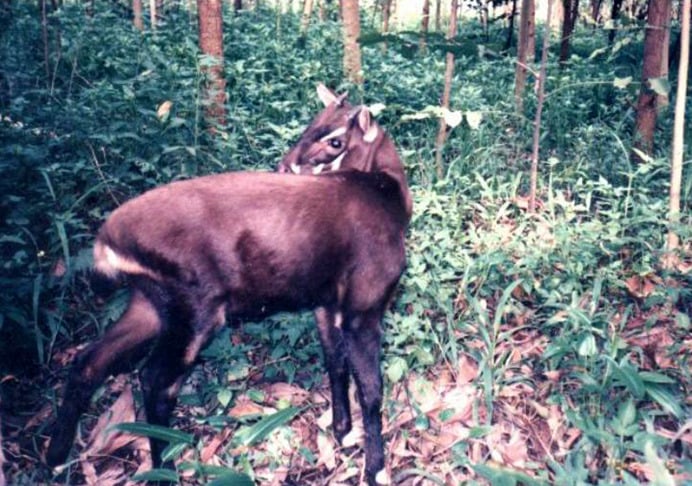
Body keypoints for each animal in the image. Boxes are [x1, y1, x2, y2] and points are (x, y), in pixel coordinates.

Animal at [46, 85, 411, 486]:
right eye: (313, 124)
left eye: (334, 139)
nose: (285, 166)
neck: (388, 194)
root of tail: (107, 240)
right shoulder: (365, 303)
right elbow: (372, 389)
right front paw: (377, 470)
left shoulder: (327, 302)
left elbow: (335, 362)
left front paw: (343, 433)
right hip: (196, 309)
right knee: (154, 380)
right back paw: (164, 469)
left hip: (150, 303)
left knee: (88, 360)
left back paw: (55, 458)